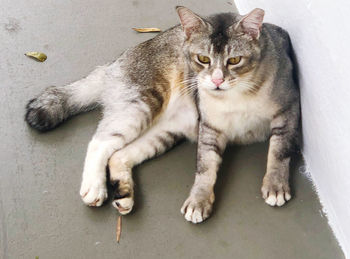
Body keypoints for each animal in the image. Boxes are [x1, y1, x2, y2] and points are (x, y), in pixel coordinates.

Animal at [25, 7, 298, 224]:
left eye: (234, 60)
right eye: (203, 59)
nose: (217, 80)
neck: (236, 97)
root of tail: (114, 63)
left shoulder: (288, 112)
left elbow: (278, 152)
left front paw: (275, 185)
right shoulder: (210, 128)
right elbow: (205, 167)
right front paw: (198, 200)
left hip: (165, 132)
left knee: (119, 155)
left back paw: (124, 194)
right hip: (141, 105)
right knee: (100, 142)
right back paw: (94, 187)